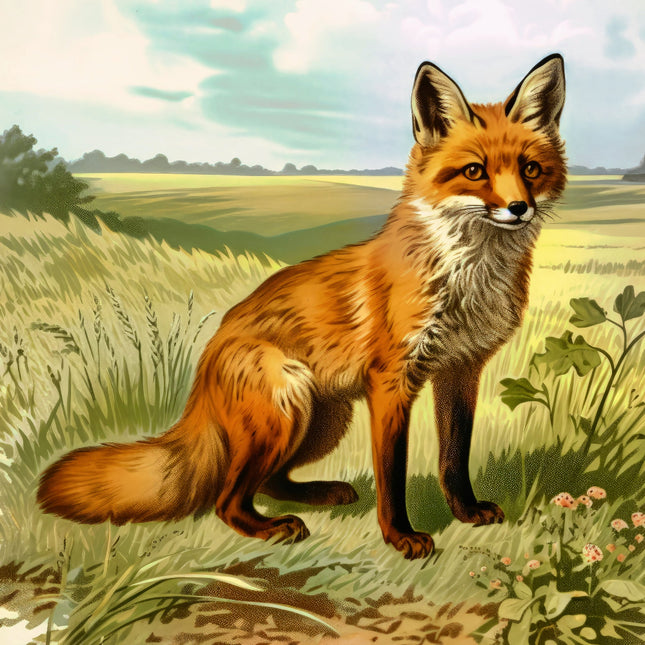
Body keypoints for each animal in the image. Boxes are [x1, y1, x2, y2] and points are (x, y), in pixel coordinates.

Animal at [38, 54, 566, 559]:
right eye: (475, 171)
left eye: (530, 169)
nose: (519, 208)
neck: (468, 282)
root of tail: (207, 360)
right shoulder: (392, 381)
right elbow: (392, 473)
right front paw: (400, 536)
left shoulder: (461, 370)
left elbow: (454, 458)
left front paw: (465, 511)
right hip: (288, 407)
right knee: (226, 499)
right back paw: (273, 528)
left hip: (324, 420)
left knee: (267, 482)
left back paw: (322, 493)